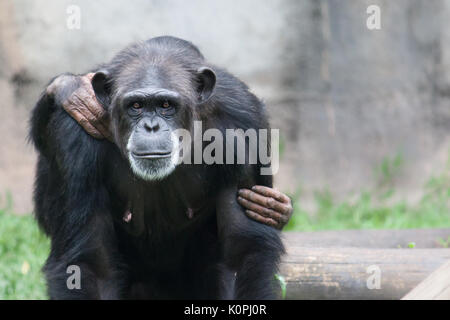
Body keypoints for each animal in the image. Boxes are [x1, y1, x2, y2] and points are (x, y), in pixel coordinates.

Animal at [30, 36, 284, 298]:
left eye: (165, 105)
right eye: (136, 105)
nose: (151, 127)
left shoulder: (242, 127)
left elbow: (240, 254)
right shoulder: (75, 133)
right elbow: (92, 265)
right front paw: (71, 88)